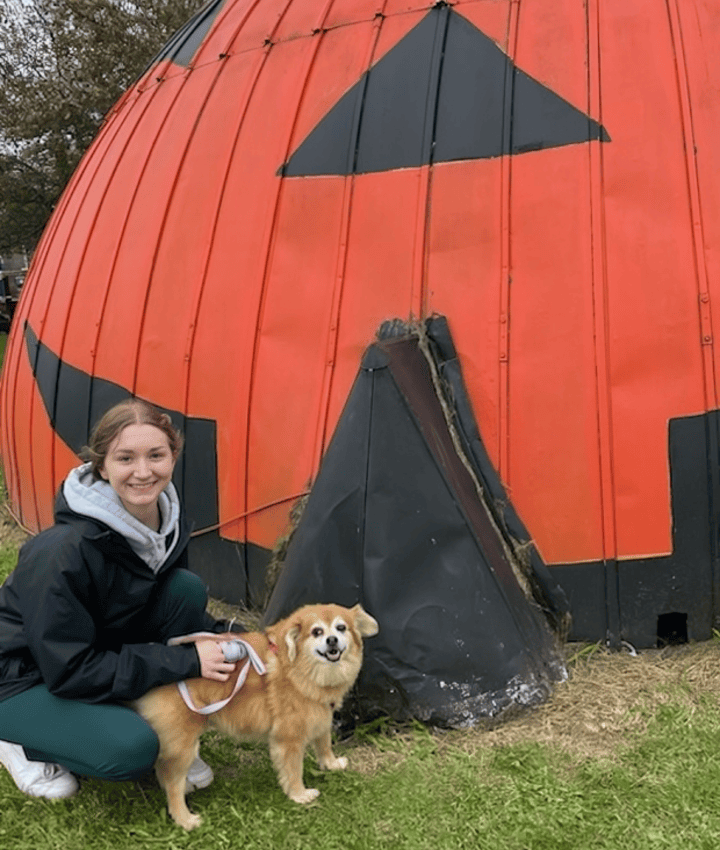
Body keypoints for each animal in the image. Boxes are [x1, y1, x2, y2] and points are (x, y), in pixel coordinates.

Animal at [131, 604, 376, 828]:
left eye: (341, 628)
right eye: (317, 632)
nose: (332, 640)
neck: (299, 666)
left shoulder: (320, 712)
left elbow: (324, 742)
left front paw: (331, 764)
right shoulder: (289, 737)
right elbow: (294, 770)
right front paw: (299, 794)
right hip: (183, 745)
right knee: (172, 783)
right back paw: (185, 819)